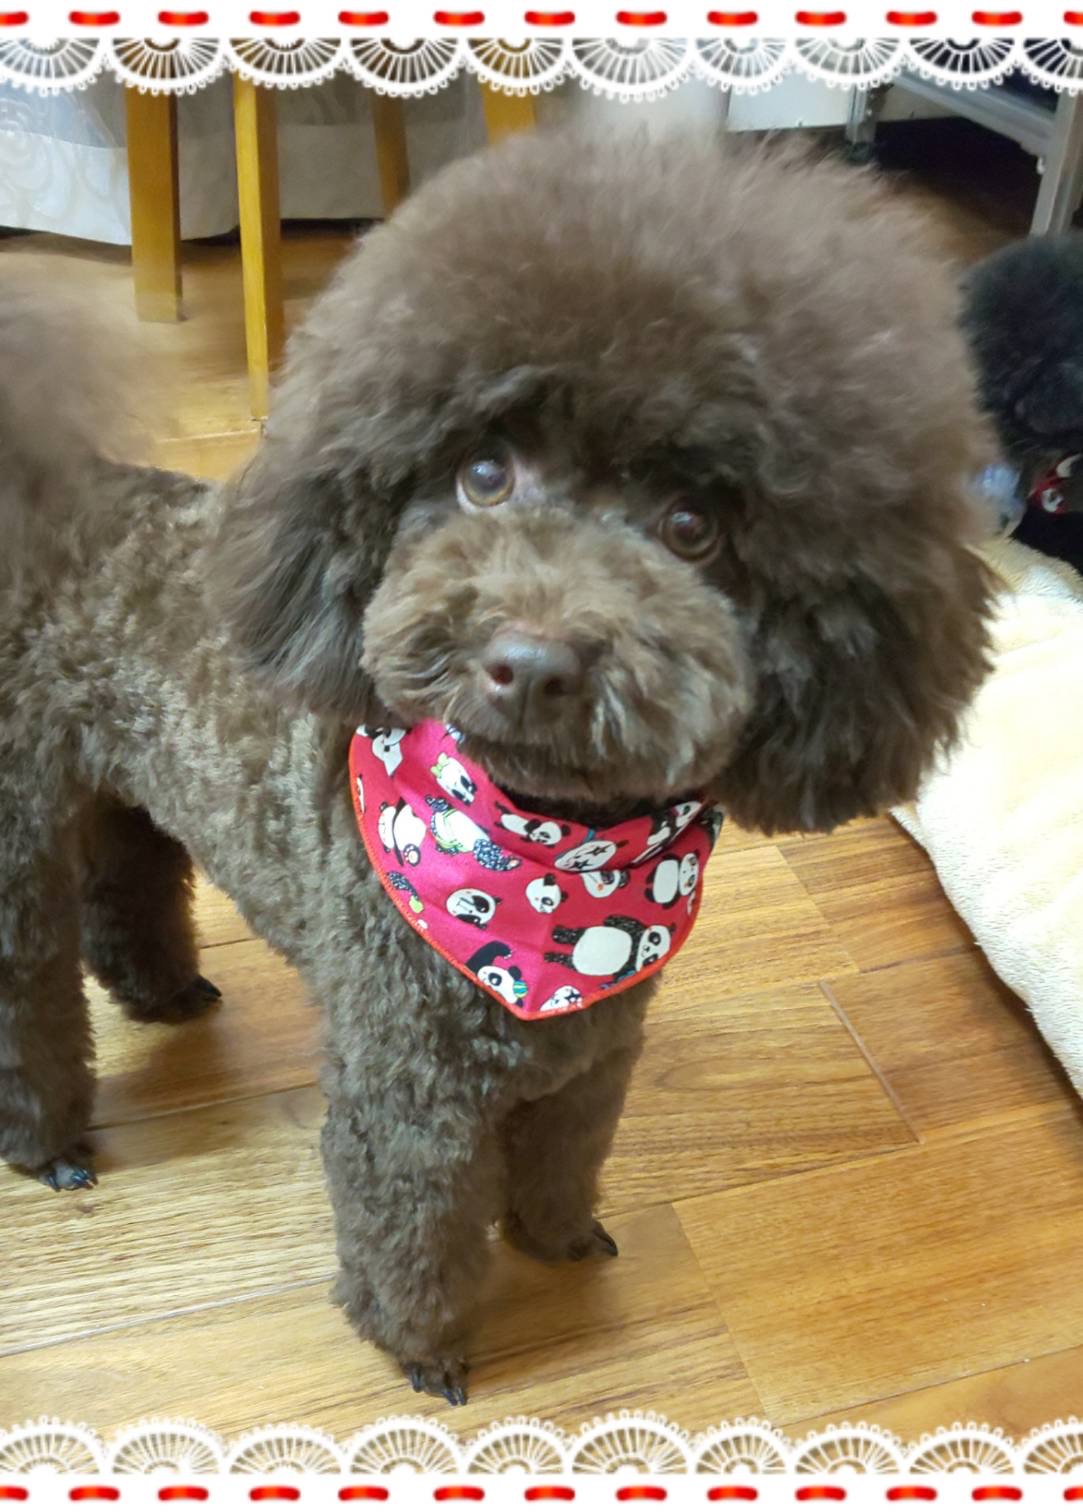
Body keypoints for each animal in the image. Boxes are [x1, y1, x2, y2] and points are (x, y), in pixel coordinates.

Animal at [0, 127, 992, 1404]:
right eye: (484, 474)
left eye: (693, 528)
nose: (530, 663)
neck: (552, 859)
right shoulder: (409, 1094)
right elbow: (414, 1229)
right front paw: (421, 1349)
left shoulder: (595, 1055)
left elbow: (566, 1159)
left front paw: (557, 1239)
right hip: (17, 835)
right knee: (27, 987)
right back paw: (50, 1145)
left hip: (129, 780)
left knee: (126, 881)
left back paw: (166, 993)